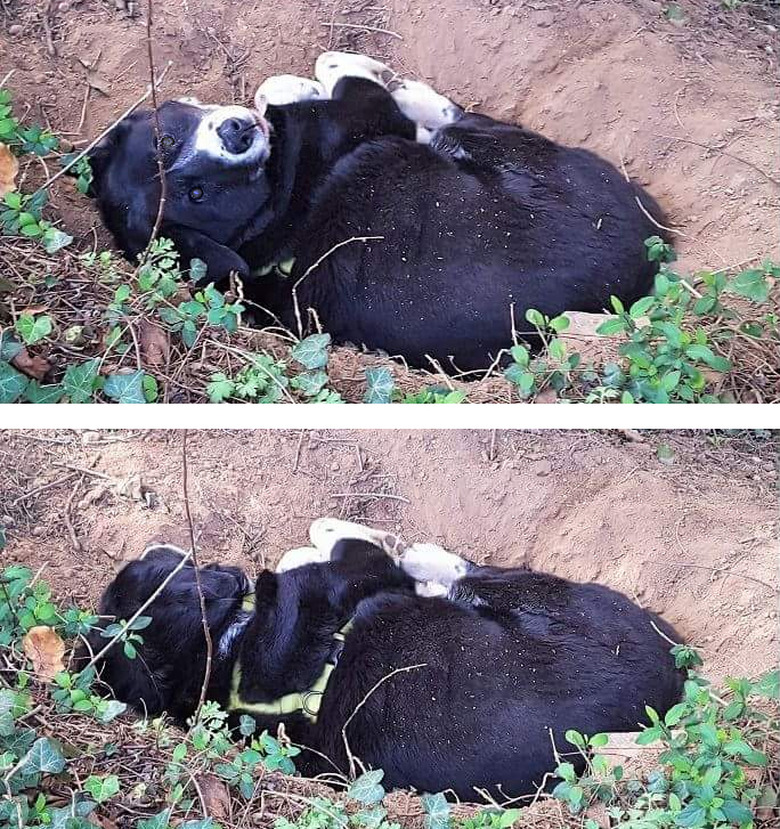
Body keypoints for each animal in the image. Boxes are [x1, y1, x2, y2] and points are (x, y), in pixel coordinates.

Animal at [80, 520, 684, 800]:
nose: (156, 545)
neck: (225, 658)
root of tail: (672, 679)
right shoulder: (351, 579)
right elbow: (350, 555)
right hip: (545, 599)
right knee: (471, 576)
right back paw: (421, 559)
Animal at [85, 52, 672, 372]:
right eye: (198, 196)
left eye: (165, 139)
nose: (236, 134)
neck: (272, 212)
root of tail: (648, 260)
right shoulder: (373, 123)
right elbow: (338, 82)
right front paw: (345, 75)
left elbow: (279, 88)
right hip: (507, 153)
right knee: (456, 123)